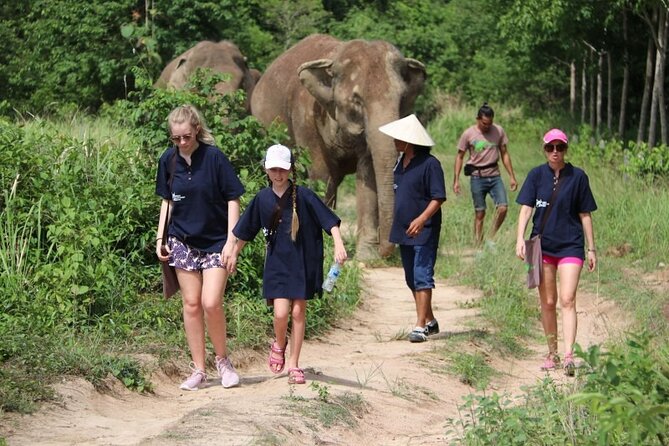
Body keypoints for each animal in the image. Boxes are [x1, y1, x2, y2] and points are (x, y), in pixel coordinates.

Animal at [250, 34, 428, 262]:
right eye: (357, 100)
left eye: (402, 99)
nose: (384, 253)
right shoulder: (306, 115)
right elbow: (320, 173)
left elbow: (368, 175)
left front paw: (366, 256)